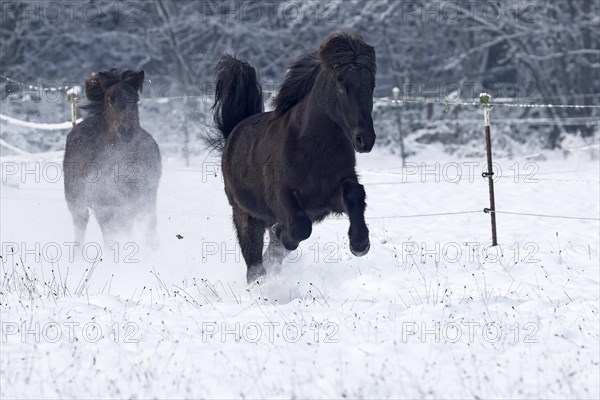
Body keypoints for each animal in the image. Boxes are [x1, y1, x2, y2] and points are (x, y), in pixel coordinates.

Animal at [63, 69, 162, 247]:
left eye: (135, 99)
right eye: (110, 99)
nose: (127, 131)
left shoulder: (146, 199)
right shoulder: (106, 206)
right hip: (78, 204)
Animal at [213, 32, 378, 282]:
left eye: (371, 85)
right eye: (341, 87)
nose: (365, 140)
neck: (313, 150)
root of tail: (234, 131)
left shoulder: (330, 195)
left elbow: (355, 193)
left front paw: (360, 243)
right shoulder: (282, 195)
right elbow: (300, 227)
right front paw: (283, 235)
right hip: (246, 216)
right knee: (254, 263)